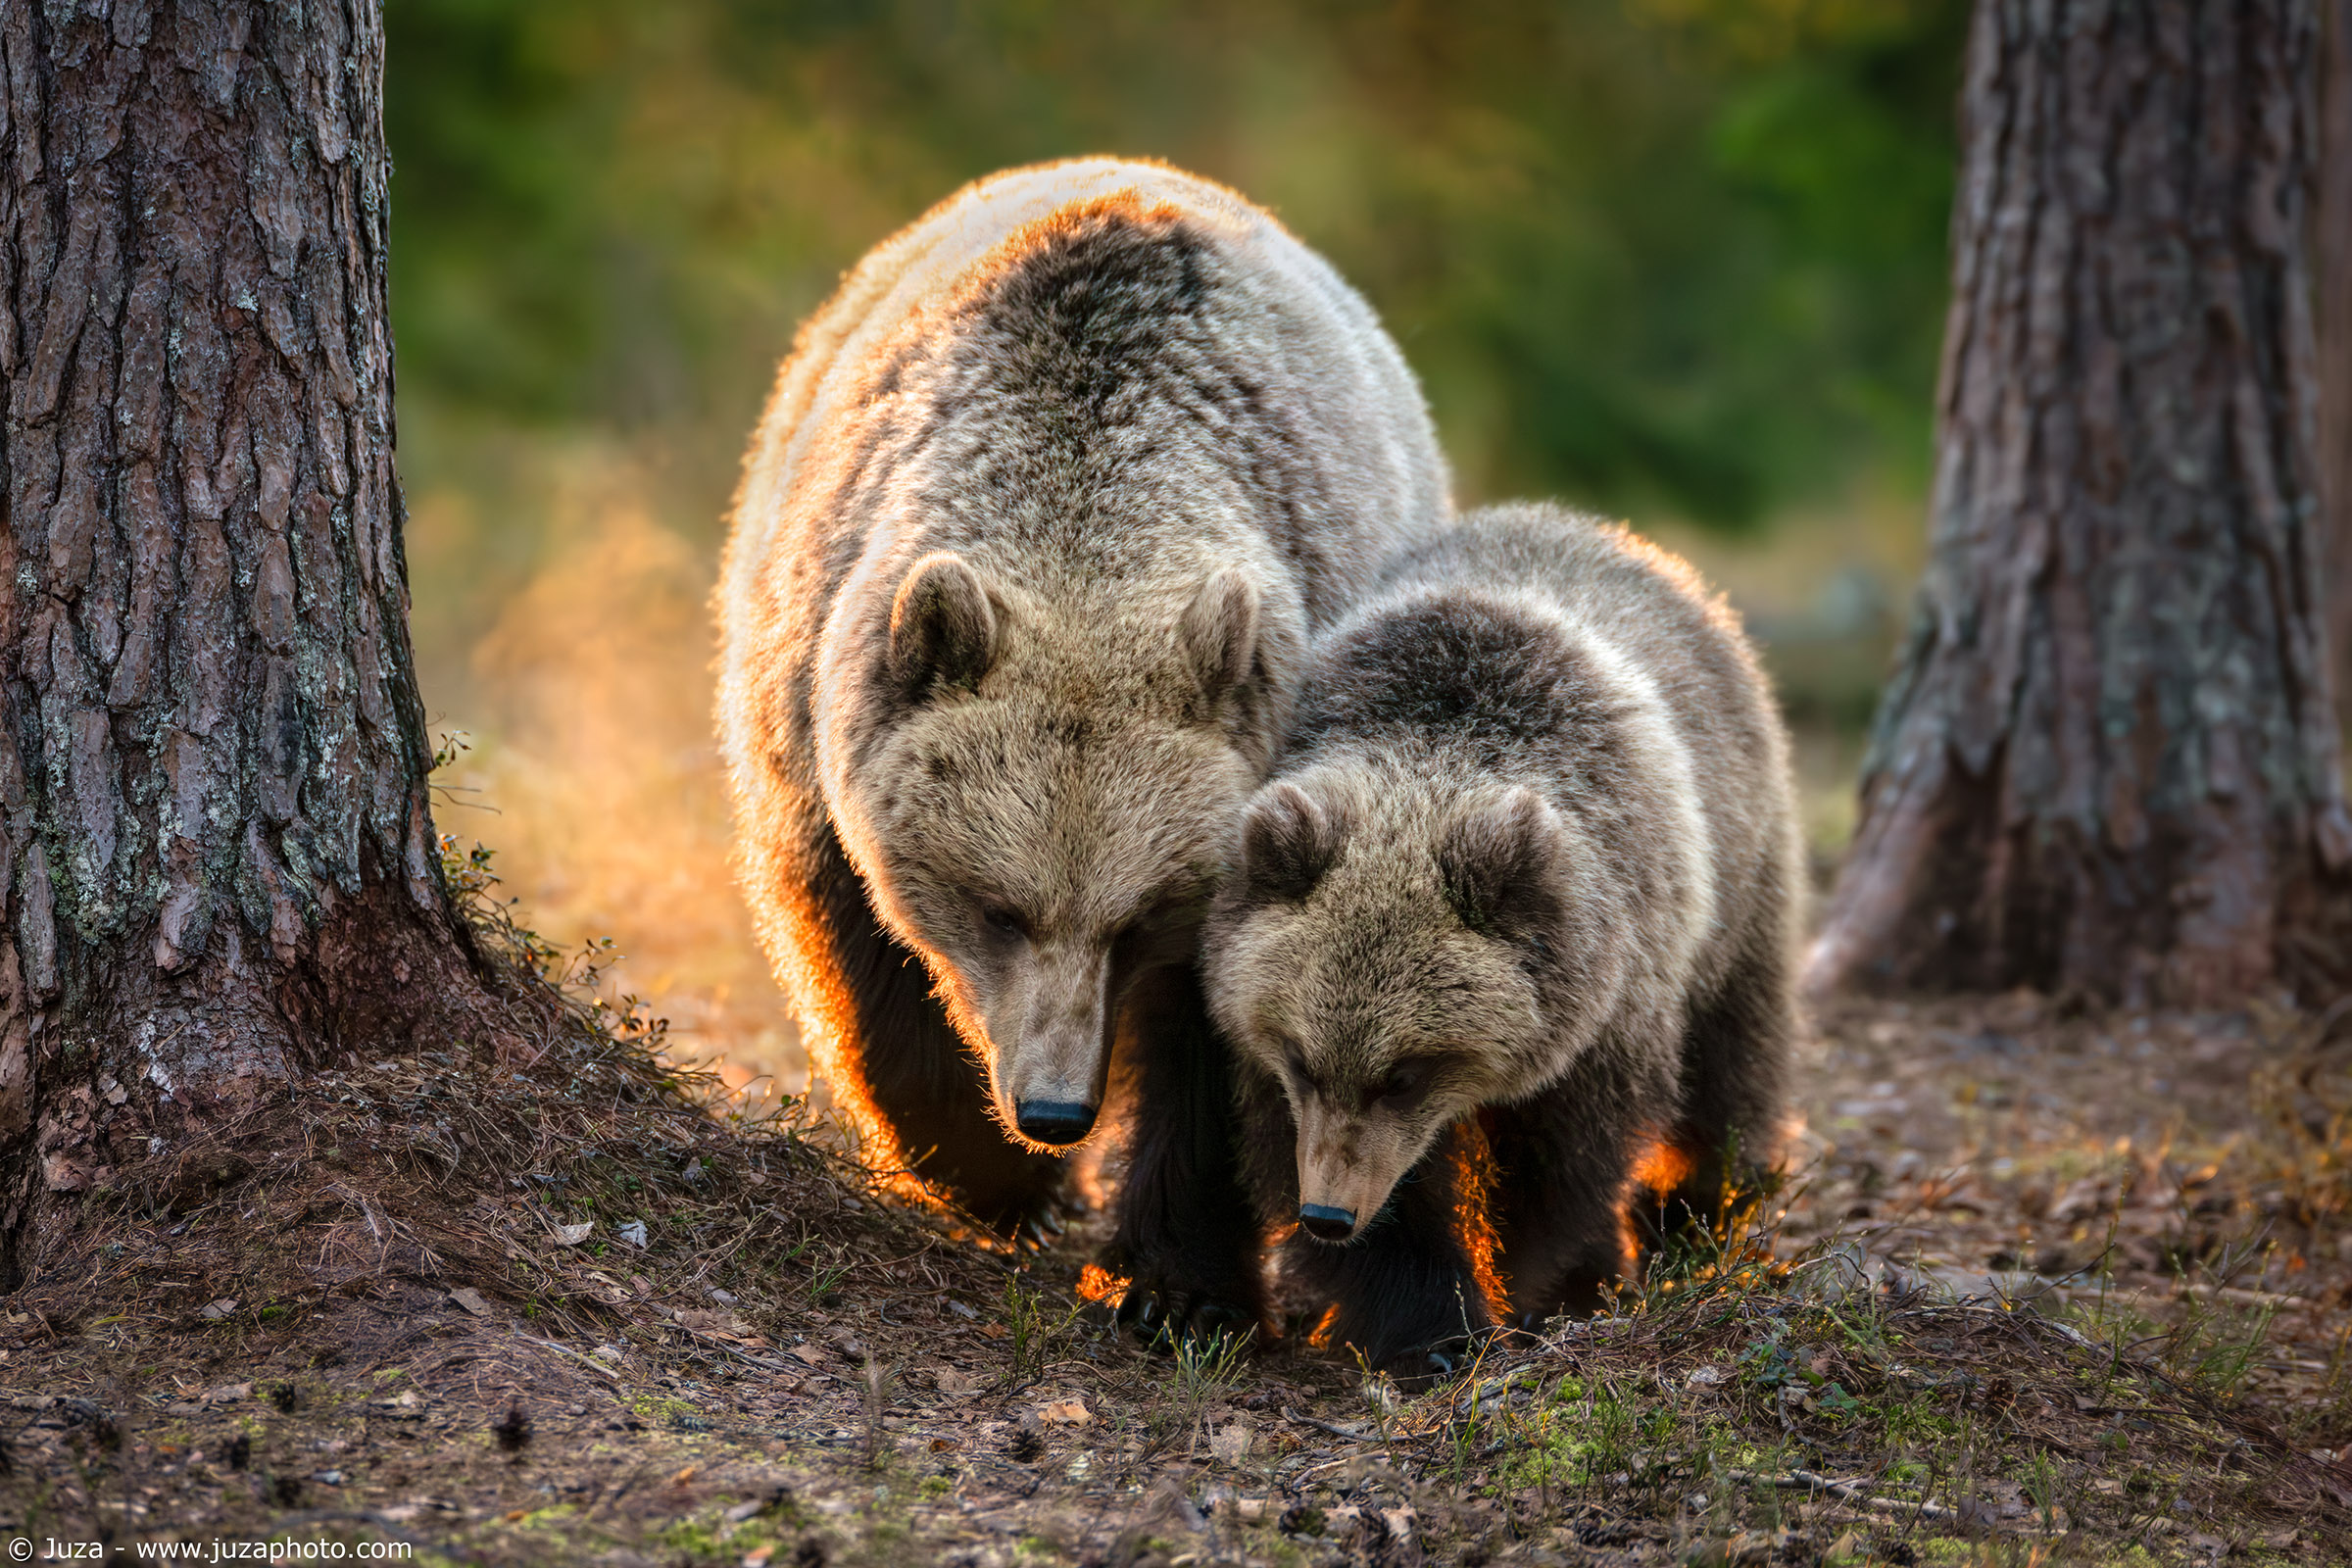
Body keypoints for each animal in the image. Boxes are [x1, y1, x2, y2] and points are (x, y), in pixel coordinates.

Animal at [715, 158, 1450, 1334]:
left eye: (1137, 917)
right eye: (997, 907)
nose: (1056, 1110)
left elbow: (1222, 1044)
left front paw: (1177, 1284)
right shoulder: (811, 685)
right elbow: (854, 942)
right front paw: (997, 1175)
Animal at [1199, 500, 1802, 1376]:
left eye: (1405, 1074)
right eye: (1303, 1059)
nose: (1329, 1215)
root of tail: (1593, 525)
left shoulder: (1608, 999)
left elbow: (1561, 1171)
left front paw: (1520, 1290)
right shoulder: (1269, 1053)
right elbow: (1319, 1159)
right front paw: (1430, 1326)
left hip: (1740, 878)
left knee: (1735, 1062)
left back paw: (1699, 1209)